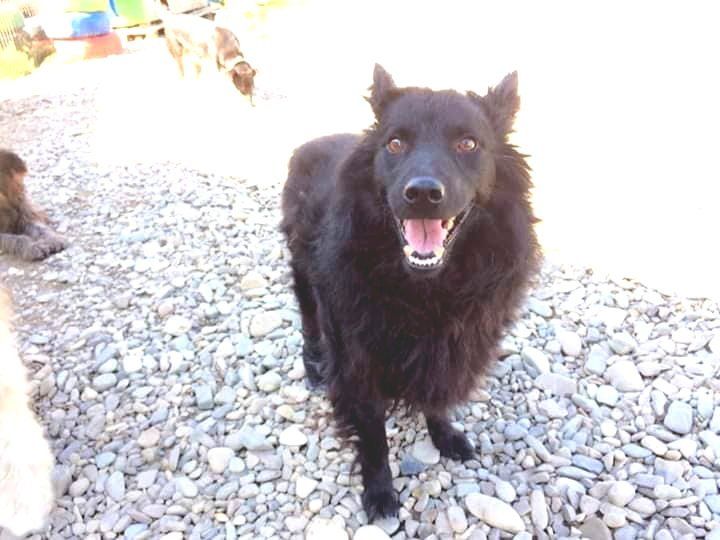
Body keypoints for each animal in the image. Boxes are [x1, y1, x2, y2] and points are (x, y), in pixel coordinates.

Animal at [281, 64, 541, 520]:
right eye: (395, 143)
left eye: (468, 143)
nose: (422, 194)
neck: (424, 290)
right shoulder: (358, 364)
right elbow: (373, 436)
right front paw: (380, 492)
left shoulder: (451, 348)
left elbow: (437, 398)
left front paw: (445, 434)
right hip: (303, 272)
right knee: (310, 319)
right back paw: (313, 364)